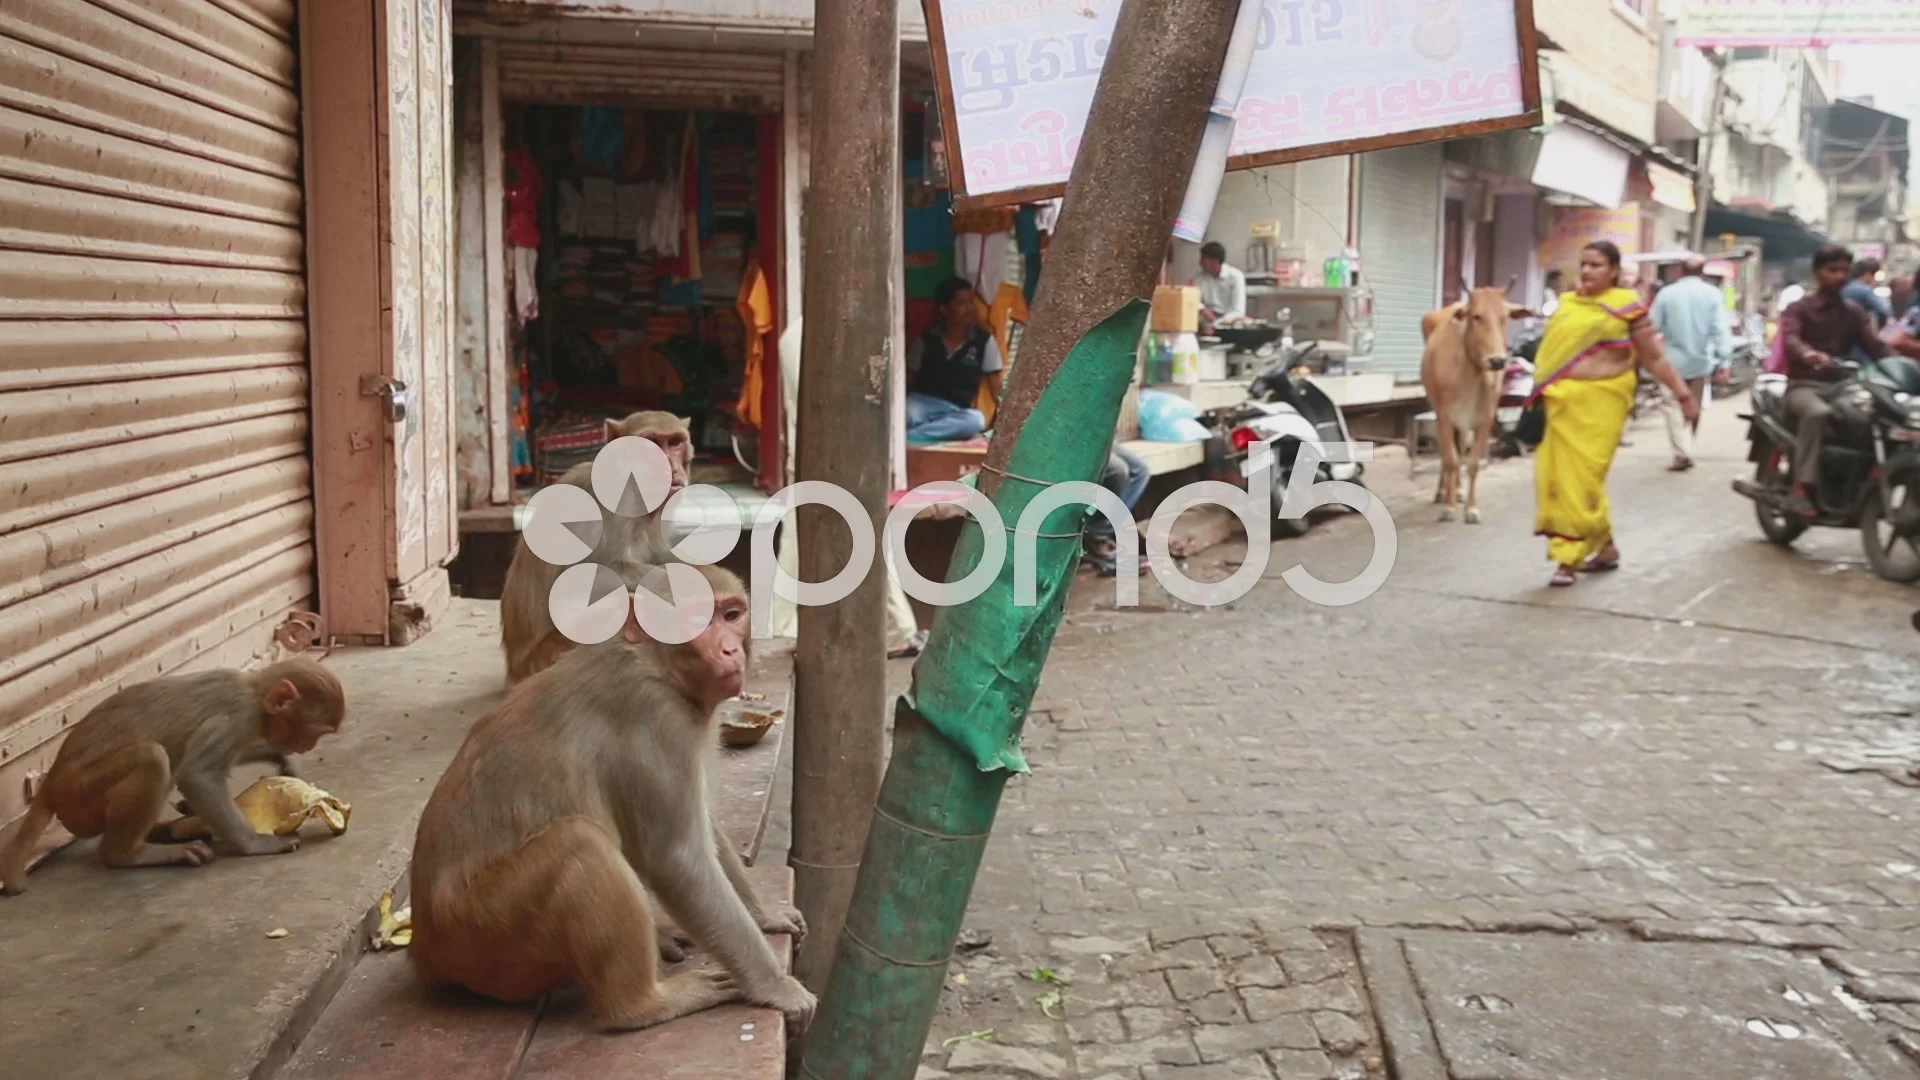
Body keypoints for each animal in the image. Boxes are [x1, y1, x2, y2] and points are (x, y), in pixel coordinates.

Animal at [1, 657, 345, 891]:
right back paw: (126, 854)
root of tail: (51, 781)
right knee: (151, 758)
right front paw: (254, 844)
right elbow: (197, 775)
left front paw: (280, 760)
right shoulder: (236, 717)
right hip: (79, 795)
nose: (308, 746)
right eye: (312, 732)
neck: (255, 693)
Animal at [410, 564, 810, 1022]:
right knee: (580, 842)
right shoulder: (658, 720)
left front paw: (764, 915)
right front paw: (775, 987)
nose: (730, 650)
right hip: (485, 929)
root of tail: (426, 948)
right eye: (696, 619)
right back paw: (641, 1005)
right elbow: (678, 860)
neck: (656, 663)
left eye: (731, 615)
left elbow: (703, 829)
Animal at [503, 407, 698, 684]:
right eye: (651, 442)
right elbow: (594, 575)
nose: (670, 467)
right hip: (546, 658)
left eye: (674, 442)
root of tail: (514, 669)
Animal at [1428, 286, 1528, 522]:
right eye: (1476, 316)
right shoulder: (1445, 417)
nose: (1497, 361)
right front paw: (1448, 507)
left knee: (1460, 448)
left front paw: (1471, 509)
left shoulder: (1485, 420)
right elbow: (1450, 459)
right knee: (1447, 454)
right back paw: (1442, 492)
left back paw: (1458, 490)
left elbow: (1472, 463)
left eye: (1504, 317)